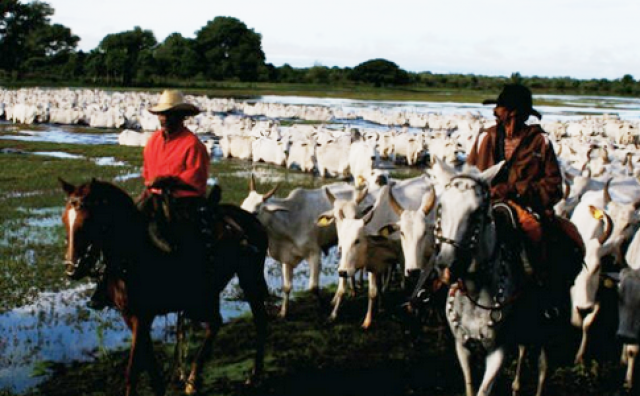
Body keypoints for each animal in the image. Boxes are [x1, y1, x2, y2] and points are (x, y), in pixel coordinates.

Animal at [58, 179, 268, 396]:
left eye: (88, 220)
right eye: (65, 219)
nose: (72, 269)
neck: (132, 254)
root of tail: (250, 219)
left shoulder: (143, 315)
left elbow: (133, 369)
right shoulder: (130, 315)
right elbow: (148, 361)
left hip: (248, 280)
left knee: (258, 321)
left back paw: (253, 375)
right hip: (207, 294)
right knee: (215, 324)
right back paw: (194, 379)